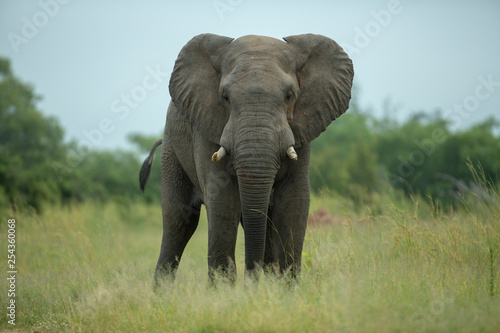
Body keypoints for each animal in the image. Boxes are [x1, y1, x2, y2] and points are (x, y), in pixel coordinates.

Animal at [139, 33, 354, 282]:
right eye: (225, 97)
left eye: (289, 96)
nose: (251, 281)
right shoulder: (207, 127)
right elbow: (222, 200)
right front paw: (223, 290)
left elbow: (294, 202)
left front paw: (287, 288)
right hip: (172, 151)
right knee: (179, 221)